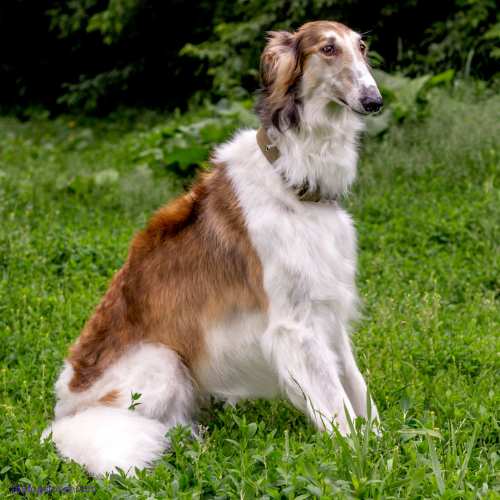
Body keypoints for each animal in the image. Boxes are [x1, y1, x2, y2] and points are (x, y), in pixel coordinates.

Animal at [44, 20, 386, 476]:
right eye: (328, 48)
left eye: (361, 47)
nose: (374, 100)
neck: (291, 177)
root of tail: (63, 416)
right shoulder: (295, 324)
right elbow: (339, 412)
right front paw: (368, 462)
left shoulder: (328, 311)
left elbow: (359, 391)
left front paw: (385, 442)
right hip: (162, 361)